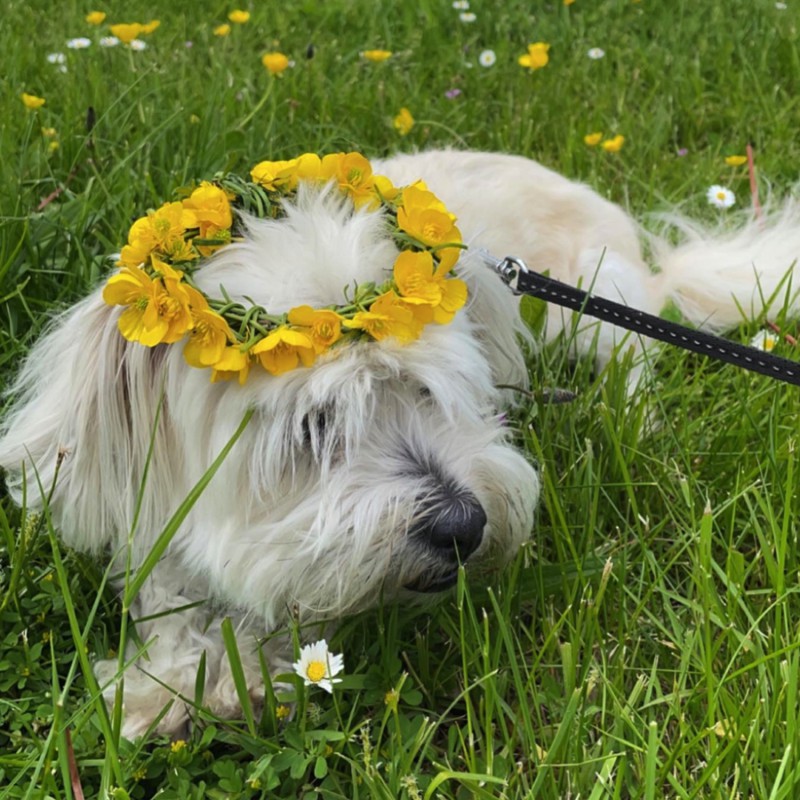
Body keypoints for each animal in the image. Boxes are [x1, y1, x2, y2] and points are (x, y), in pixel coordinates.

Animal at [1, 150, 800, 736]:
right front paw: (160, 688)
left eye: (429, 391)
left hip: (589, 305)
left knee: (633, 358)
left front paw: (224, 680)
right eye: (315, 425)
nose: (463, 527)